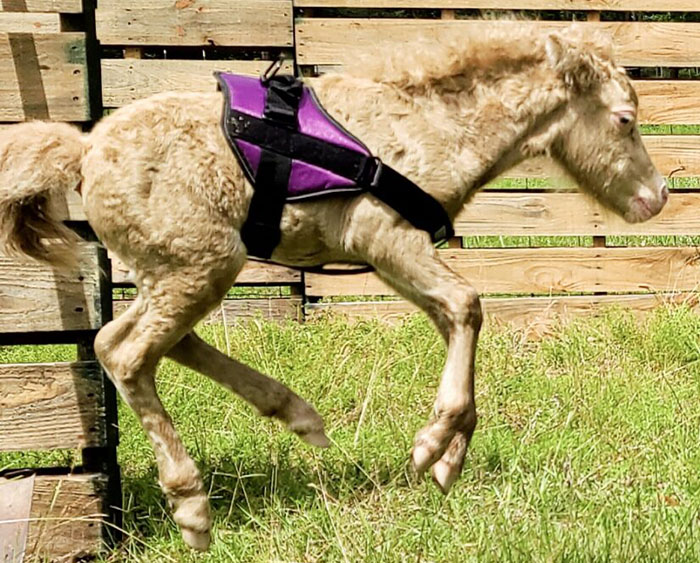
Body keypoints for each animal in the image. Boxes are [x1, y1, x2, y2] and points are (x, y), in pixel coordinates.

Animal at [0, 27, 668, 552]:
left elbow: (456, 318)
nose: (657, 197)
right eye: (625, 120)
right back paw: (192, 507)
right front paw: (432, 445)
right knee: (126, 352)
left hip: (177, 269)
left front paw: (449, 458)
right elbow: (467, 306)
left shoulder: (391, 255)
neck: (429, 124)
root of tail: (85, 150)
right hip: (199, 263)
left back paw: (297, 414)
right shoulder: (384, 237)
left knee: (148, 341)